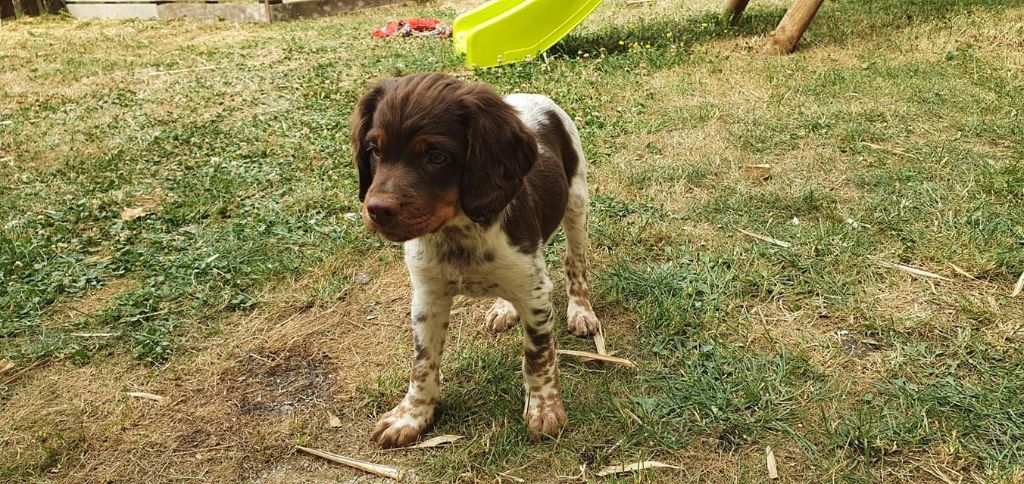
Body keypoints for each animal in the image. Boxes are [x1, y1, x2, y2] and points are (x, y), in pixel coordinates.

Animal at [352, 71, 598, 446]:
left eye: (436, 156)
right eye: (374, 150)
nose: (377, 210)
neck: (458, 229)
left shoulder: (535, 292)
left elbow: (538, 355)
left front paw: (544, 409)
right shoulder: (427, 297)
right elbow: (422, 363)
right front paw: (411, 416)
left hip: (576, 204)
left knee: (575, 264)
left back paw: (581, 311)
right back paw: (504, 308)